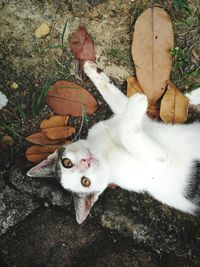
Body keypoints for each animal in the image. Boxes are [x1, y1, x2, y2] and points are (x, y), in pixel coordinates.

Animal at [27, 60, 200, 224]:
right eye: (85, 182)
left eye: (66, 163)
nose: (85, 163)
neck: (103, 148)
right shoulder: (159, 163)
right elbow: (127, 132)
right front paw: (138, 100)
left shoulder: (137, 121)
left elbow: (116, 99)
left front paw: (92, 71)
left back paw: (194, 95)